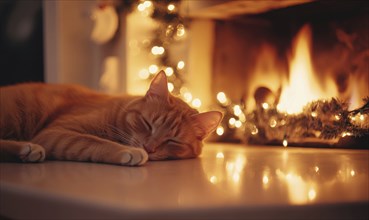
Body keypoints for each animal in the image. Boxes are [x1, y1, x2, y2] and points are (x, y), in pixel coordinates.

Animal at [0, 71, 221, 166]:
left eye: (173, 140)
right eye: (148, 124)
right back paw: (26, 148)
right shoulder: (54, 133)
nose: (148, 148)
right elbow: (93, 142)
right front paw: (127, 151)